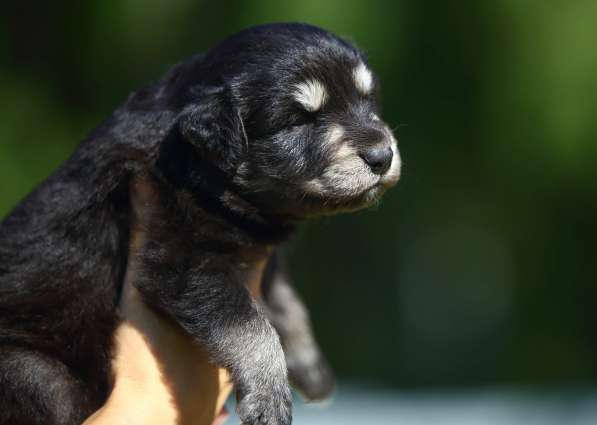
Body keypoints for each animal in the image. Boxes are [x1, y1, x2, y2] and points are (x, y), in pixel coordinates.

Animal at [1, 23, 400, 424]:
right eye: (299, 120)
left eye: (368, 102)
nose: (382, 156)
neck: (201, 166)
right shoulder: (184, 259)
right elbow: (250, 325)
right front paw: (269, 396)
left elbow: (286, 300)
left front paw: (311, 367)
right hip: (35, 372)